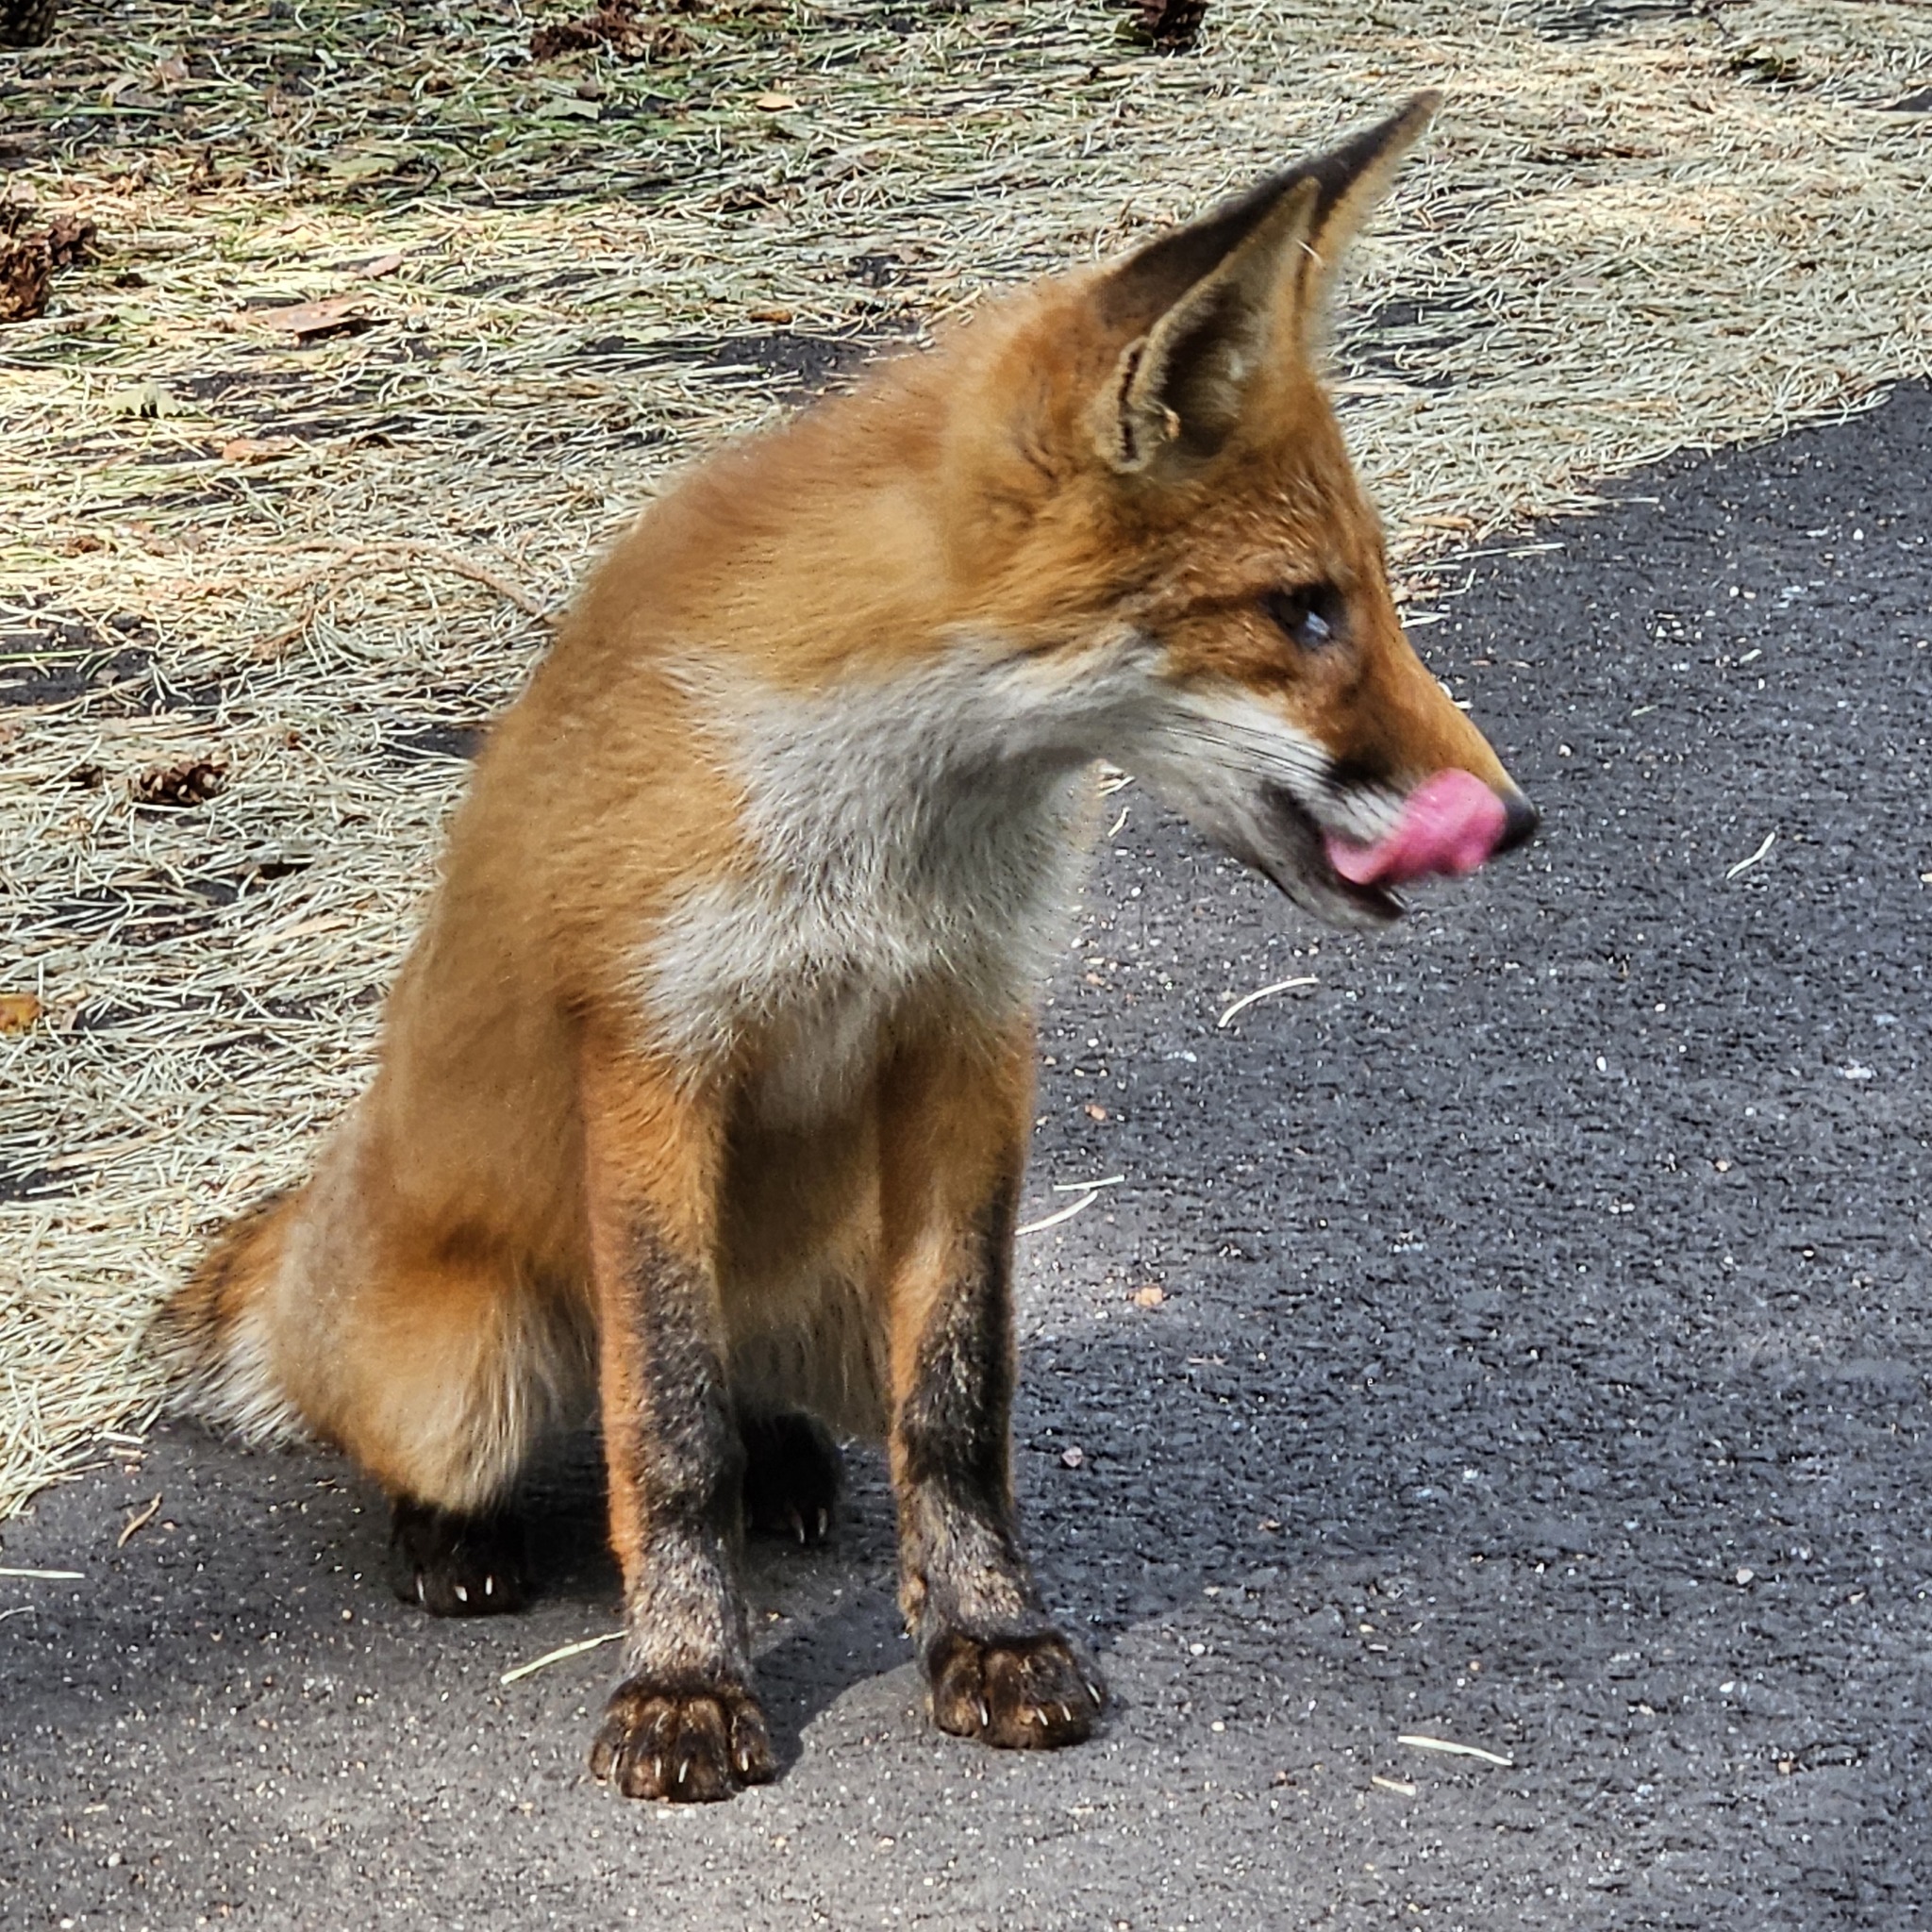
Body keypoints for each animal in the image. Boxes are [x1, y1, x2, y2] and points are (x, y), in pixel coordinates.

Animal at [150, 97, 1538, 1800]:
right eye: (1303, 612)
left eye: (1369, 601)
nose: (1513, 818)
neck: (878, 838)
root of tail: (328, 1217)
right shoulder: (656, 1053)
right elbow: (663, 1437)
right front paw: (685, 1679)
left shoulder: (971, 1029)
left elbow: (956, 1403)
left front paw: (988, 1634)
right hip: (467, 1368)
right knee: (495, 1431)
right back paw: (453, 1536)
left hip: (822, 1292)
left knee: (777, 1391)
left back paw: (794, 1464)